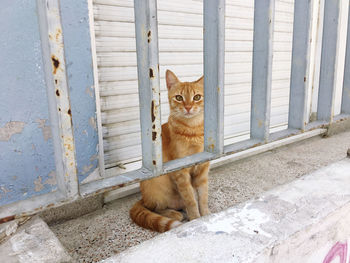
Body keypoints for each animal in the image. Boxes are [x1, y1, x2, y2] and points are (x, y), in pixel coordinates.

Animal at [129, 69, 209, 233]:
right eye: (179, 97)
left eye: (197, 97)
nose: (188, 107)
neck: (193, 131)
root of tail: (143, 198)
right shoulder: (181, 172)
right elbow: (191, 200)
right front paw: (196, 219)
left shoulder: (203, 169)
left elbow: (203, 197)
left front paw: (206, 215)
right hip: (158, 189)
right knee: (154, 208)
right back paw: (174, 214)